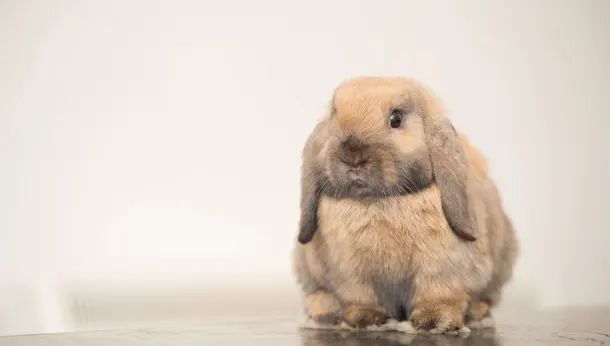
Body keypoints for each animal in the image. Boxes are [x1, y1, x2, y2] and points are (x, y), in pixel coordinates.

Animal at [290, 76, 516, 332]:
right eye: (335, 115)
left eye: (396, 119)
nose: (353, 157)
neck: (377, 201)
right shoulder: (349, 273)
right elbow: (359, 297)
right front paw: (365, 320)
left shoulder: (441, 267)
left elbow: (439, 294)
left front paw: (435, 322)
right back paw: (322, 309)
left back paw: (477, 312)